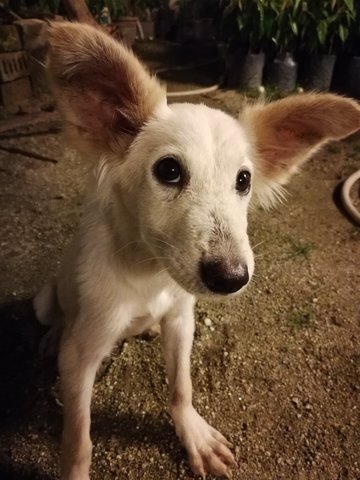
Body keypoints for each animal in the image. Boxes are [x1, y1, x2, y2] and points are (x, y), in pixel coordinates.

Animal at [34, 21, 360, 480]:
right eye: (169, 170)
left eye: (244, 180)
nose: (231, 278)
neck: (150, 275)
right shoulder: (82, 356)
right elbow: (78, 441)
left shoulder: (181, 320)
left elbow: (180, 388)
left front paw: (194, 435)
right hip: (46, 301)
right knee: (56, 319)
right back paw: (50, 338)